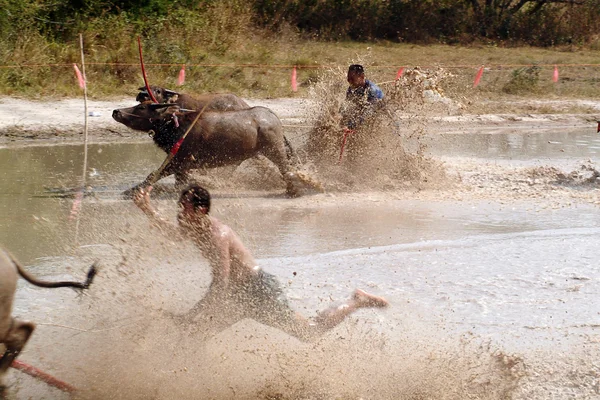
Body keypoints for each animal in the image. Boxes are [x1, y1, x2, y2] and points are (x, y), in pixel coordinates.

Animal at [113, 101, 318, 197]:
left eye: (141, 107)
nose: (116, 111)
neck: (176, 126)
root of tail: (273, 118)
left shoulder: (180, 161)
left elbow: (153, 175)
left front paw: (131, 191)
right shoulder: (182, 166)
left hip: (275, 150)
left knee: (286, 170)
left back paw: (294, 191)